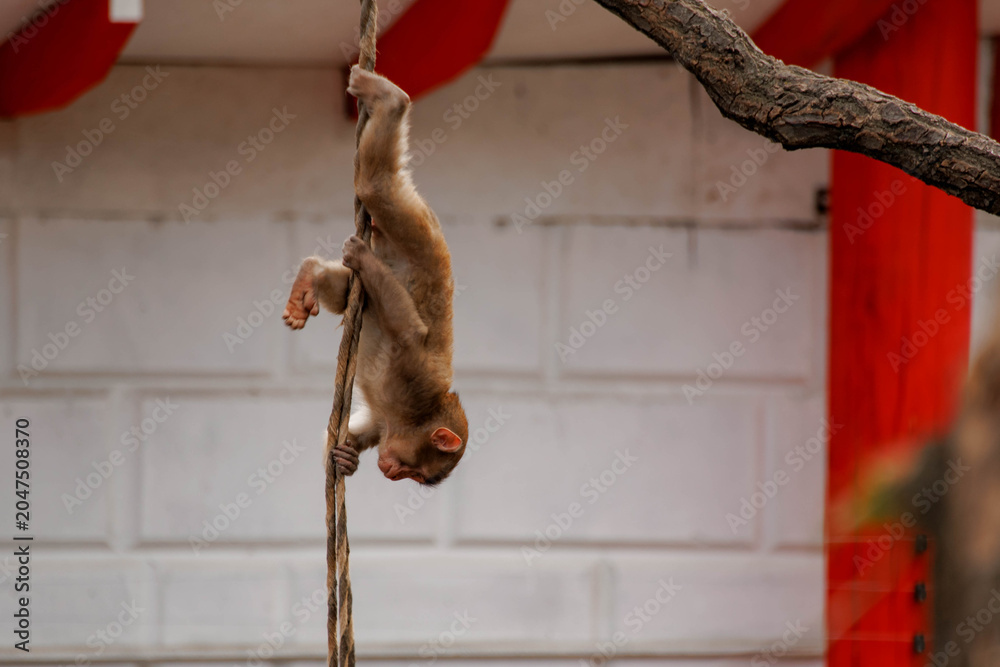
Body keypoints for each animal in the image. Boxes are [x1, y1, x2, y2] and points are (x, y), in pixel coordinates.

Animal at [282, 65, 468, 486]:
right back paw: (390, 98)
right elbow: (410, 332)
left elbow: (355, 431)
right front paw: (364, 261)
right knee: (378, 188)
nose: (391, 473)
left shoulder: (385, 424)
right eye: (415, 472)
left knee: (343, 291)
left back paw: (310, 276)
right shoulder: (415, 379)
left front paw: (347, 459)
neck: (410, 416)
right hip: (417, 228)